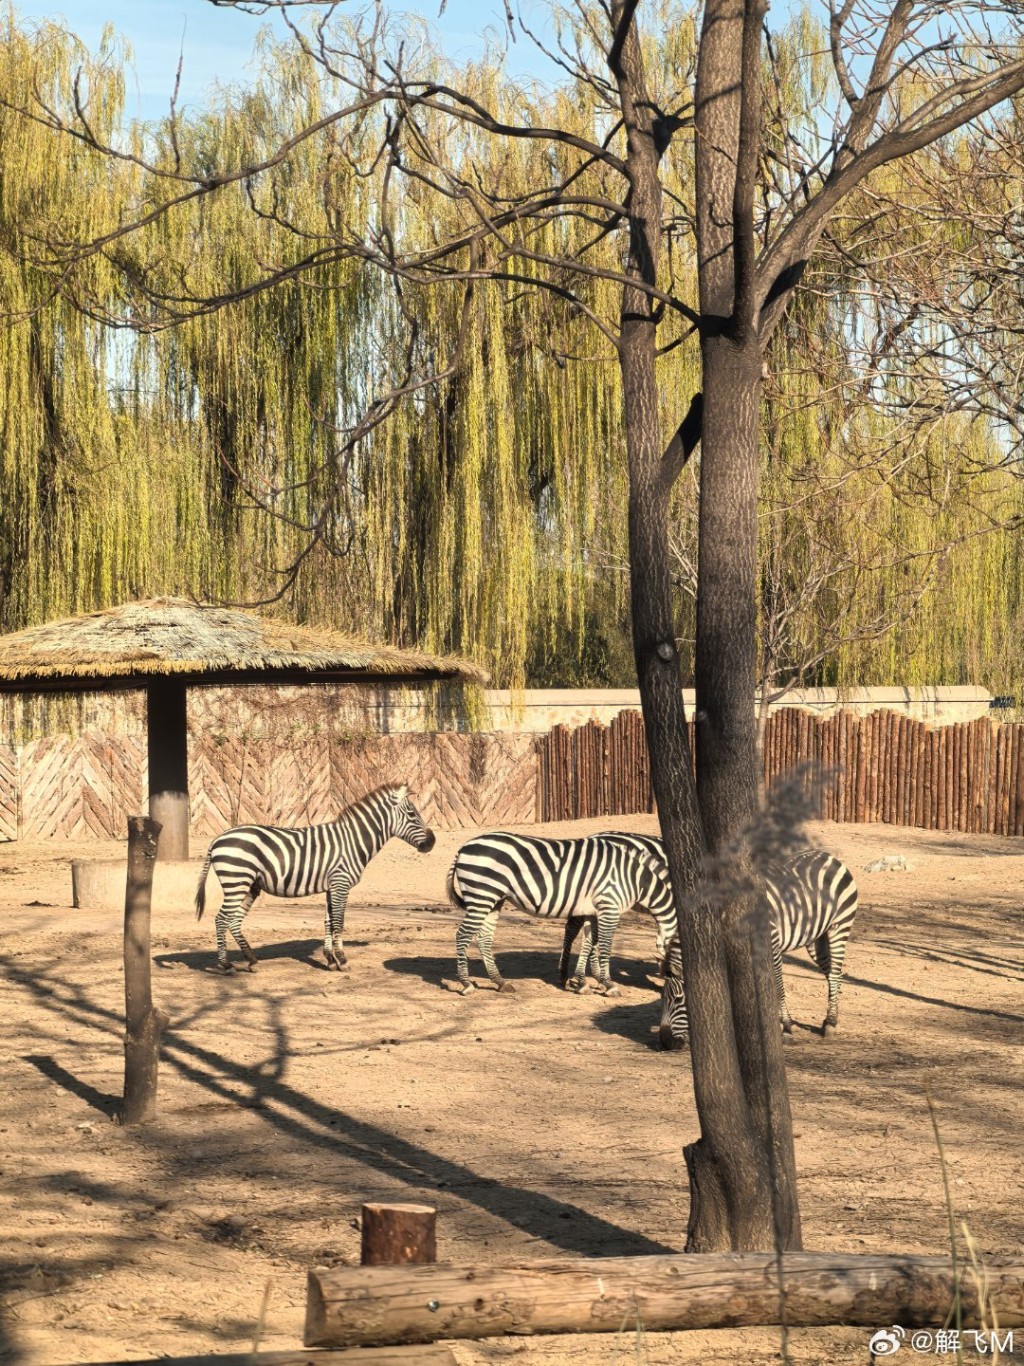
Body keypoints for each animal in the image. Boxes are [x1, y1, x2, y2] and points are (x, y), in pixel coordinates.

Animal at [193, 786, 434, 978]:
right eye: (412, 814)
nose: (432, 842)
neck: (353, 841)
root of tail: (218, 839)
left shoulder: (331, 886)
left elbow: (328, 922)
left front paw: (330, 959)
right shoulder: (341, 883)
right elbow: (339, 922)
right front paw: (342, 960)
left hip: (250, 885)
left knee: (233, 921)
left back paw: (252, 961)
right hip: (237, 880)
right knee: (221, 919)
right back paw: (226, 965)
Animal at [447, 825, 674, 999]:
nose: (662, 990)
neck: (635, 879)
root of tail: (464, 847)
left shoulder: (594, 910)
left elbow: (588, 943)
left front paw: (583, 982)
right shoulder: (609, 906)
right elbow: (605, 946)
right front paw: (609, 985)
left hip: (494, 899)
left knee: (484, 938)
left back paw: (501, 982)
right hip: (481, 895)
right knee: (462, 935)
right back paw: (466, 984)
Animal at [658, 846, 857, 1049]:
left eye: (678, 999)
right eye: (662, 998)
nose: (665, 1042)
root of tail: (829, 856)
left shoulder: (772, 944)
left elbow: (778, 986)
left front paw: (786, 1027)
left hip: (839, 926)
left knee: (834, 972)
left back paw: (831, 1023)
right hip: (816, 940)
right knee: (833, 973)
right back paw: (829, 1019)